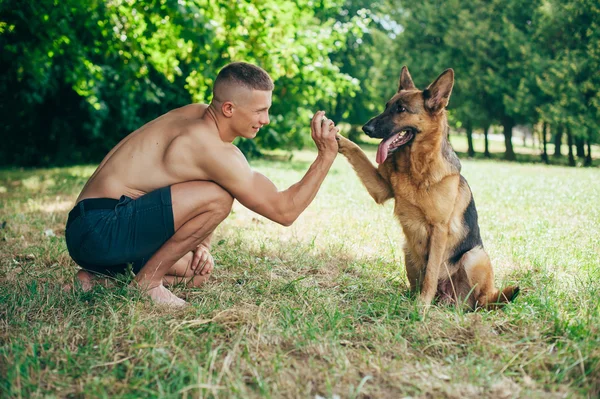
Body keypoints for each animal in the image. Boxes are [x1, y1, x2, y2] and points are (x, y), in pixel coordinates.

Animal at [338, 66, 520, 310]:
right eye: (386, 105)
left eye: (401, 109)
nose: (366, 128)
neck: (416, 167)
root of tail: (449, 299)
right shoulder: (381, 189)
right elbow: (357, 151)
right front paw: (337, 137)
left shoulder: (439, 229)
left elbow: (432, 272)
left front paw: (421, 306)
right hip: (407, 250)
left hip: (475, 257)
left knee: (482, 300)